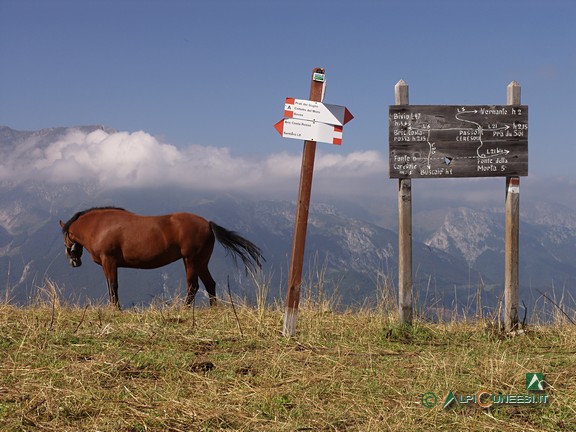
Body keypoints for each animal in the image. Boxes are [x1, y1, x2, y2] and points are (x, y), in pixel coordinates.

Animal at [60, 208, 264, 308]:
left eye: (65, 237)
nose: (73, 261)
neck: (99, 225)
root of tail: (207, 223)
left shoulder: (108, 261)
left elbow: (113, 286)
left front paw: (115, 308)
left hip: (191, 260)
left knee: (193, 286)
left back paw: (183, 309)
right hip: (201, 262)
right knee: (210, 284)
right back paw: (213, 309)